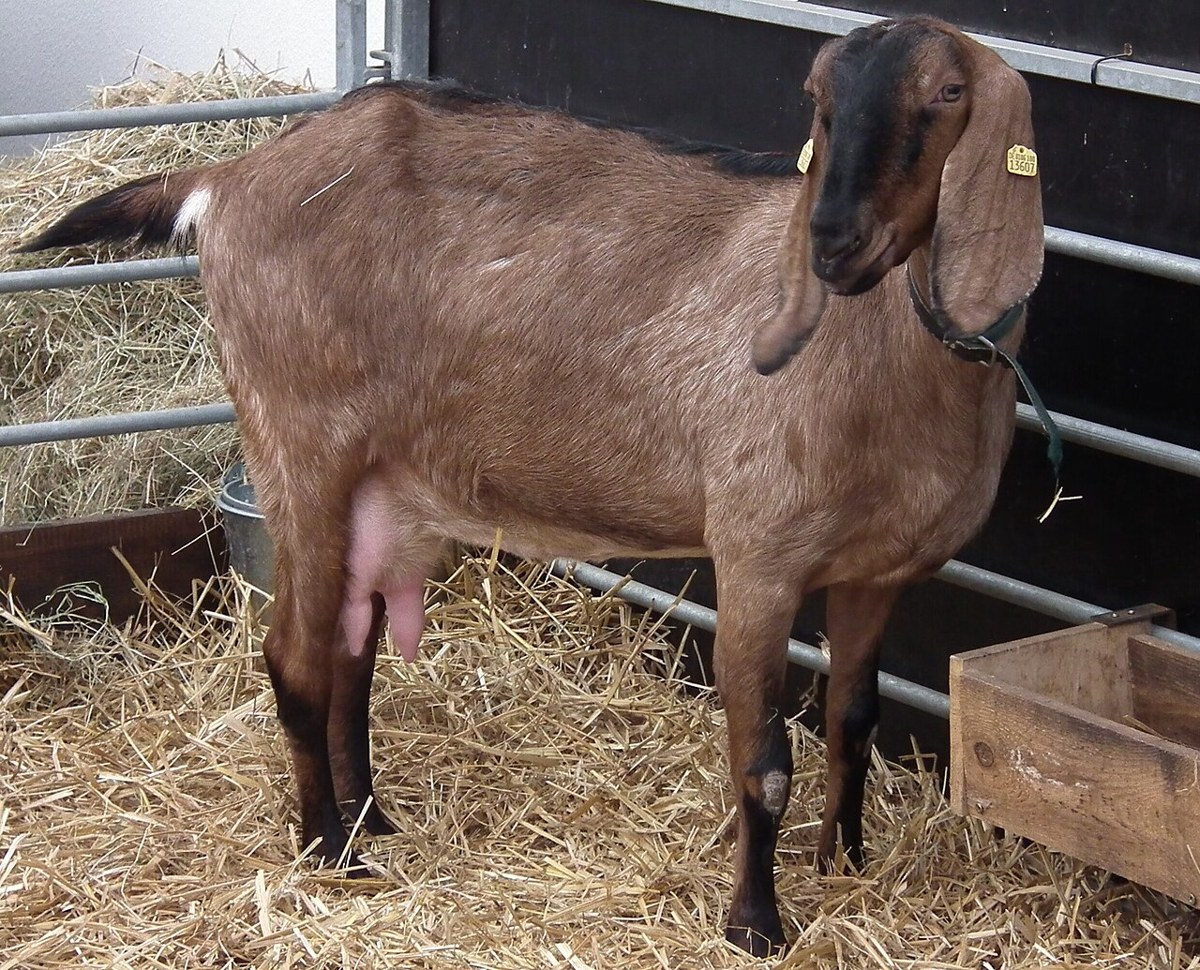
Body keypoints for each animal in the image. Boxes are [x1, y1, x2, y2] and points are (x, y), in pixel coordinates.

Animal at [19, 16, 1042, 956]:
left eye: (949, 94)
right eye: (820, 101)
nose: (832, 242)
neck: (885, 363)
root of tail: (229, 179)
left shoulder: (877, 574)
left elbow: (855, 720)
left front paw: (846, 865)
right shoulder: (758, 557)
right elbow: (763, 761)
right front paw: (755, 924)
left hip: (380, 485)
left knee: (352, 650)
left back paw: (371, 819)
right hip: (297, 444)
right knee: (296, 658)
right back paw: (328, 850)